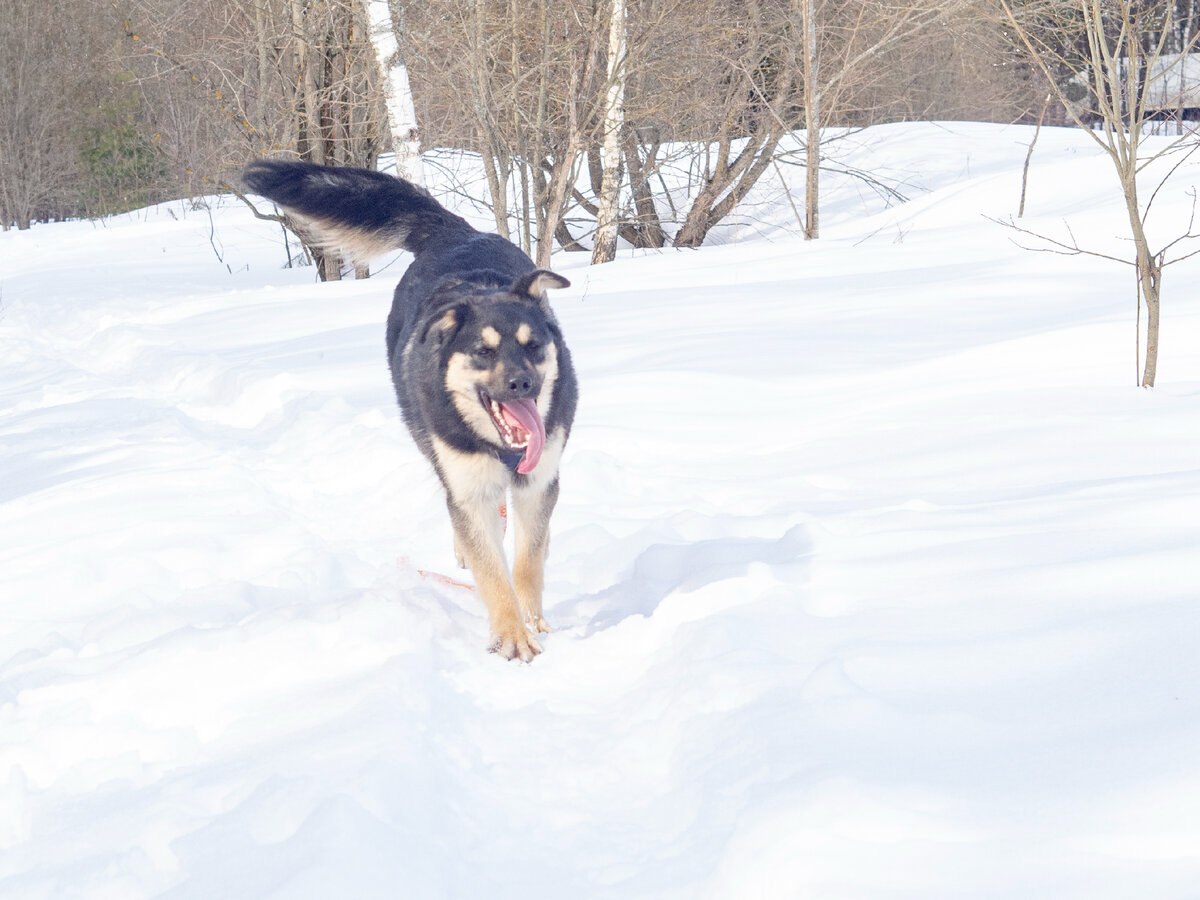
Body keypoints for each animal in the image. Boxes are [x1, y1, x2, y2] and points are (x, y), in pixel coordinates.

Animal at [241, 158, 573, 657]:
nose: (523, 383)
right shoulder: (469, 488)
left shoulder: (538, 484)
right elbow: (493, 572)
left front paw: (535, 625)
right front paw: (512, 636)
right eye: (484, 352)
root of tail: (454, 232)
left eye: (532, 345)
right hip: (432, 447)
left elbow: (527, 565)